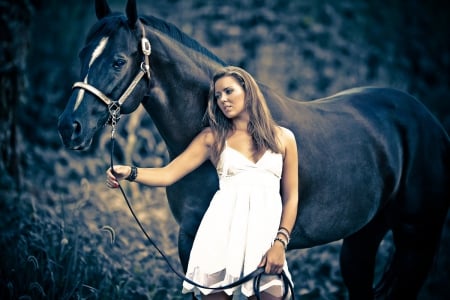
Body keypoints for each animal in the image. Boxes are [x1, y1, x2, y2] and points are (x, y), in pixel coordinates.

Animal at [58, 1, 448, 298]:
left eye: (118, 61)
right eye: (81, 54)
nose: (69, 126)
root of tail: (430, 122)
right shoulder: (192, 244)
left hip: (417, 239)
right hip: (363, 236)